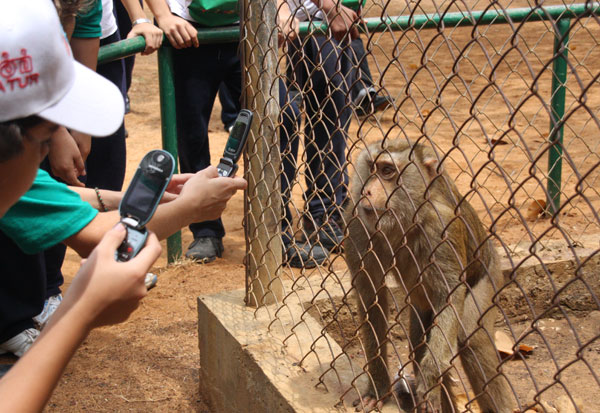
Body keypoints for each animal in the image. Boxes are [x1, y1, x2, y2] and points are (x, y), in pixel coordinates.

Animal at [344, 140, 512, 410]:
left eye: (387, 171)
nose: (367, 191)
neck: (404, 221)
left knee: (471, 337)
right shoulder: (357, 222)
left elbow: (450, 297)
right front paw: (378, 388)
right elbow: (372, 298)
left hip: (491, 275)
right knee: (418, 343)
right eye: (371, 168)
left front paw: (430, 379)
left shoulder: (441, 226)